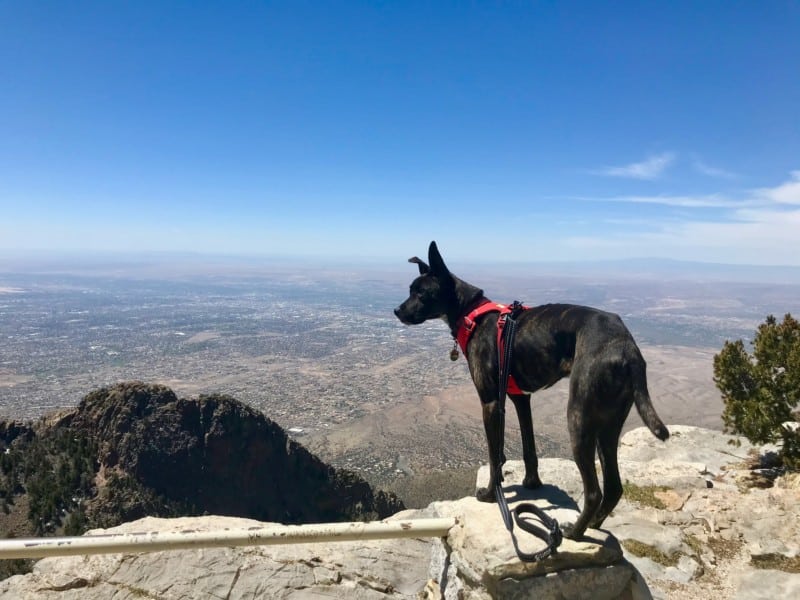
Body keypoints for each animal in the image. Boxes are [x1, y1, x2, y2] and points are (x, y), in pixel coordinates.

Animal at [396, 240, 668, 540]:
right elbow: (529, 448)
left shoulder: (491, 403)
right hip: (608, 425)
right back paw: (595, 524)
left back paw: (574, 532)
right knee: (614, 487)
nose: (397, 311)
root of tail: (626, 346)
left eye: (421, 292)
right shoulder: (518, 399)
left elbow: (494, 455)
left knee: (594, 491)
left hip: (580, 417)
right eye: (410, 289)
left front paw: (490, 494)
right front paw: (532, 482)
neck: (471, 314)